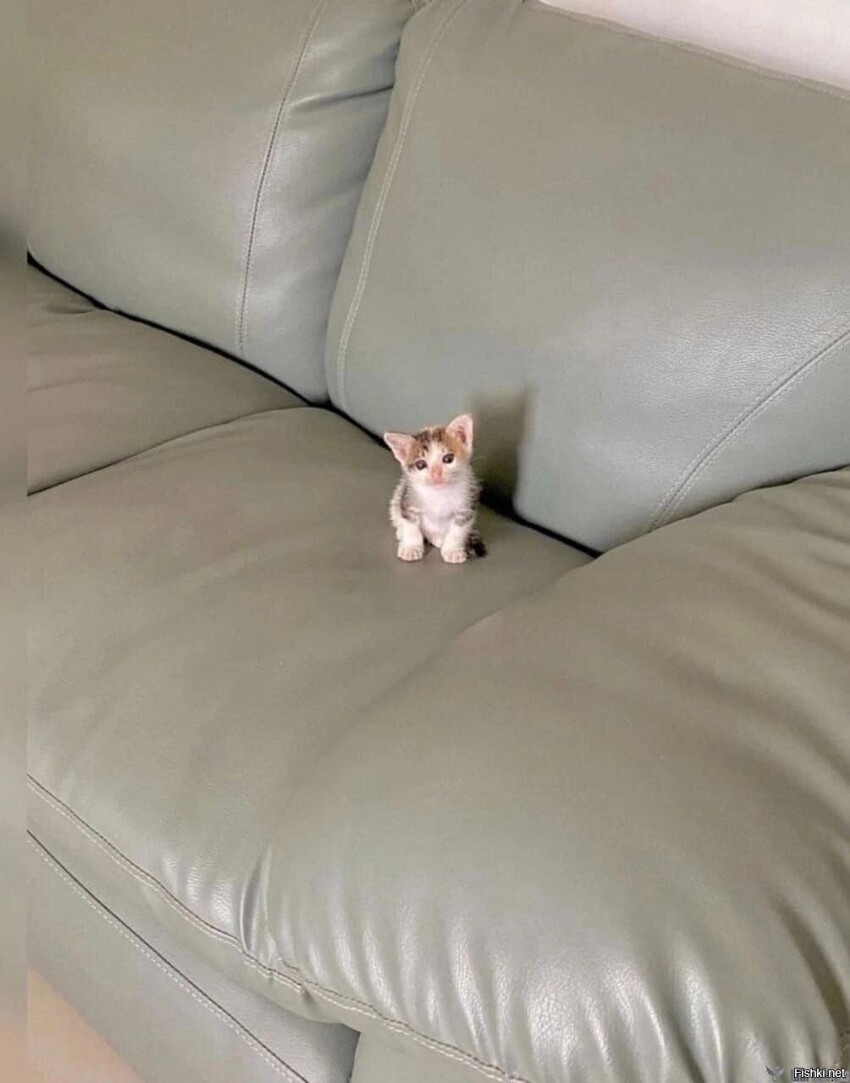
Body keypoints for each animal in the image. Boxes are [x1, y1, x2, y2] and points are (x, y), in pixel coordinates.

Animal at [383, 414, 486, 563]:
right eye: (420, 464)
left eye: (448, 459)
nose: (436, 474)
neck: (439, 493)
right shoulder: (409, 502)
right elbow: (411, 526)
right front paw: (411, 548)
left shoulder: (466, 507)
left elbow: (458, 531)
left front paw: (452, 550)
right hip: (399, 495)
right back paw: (401, 532)